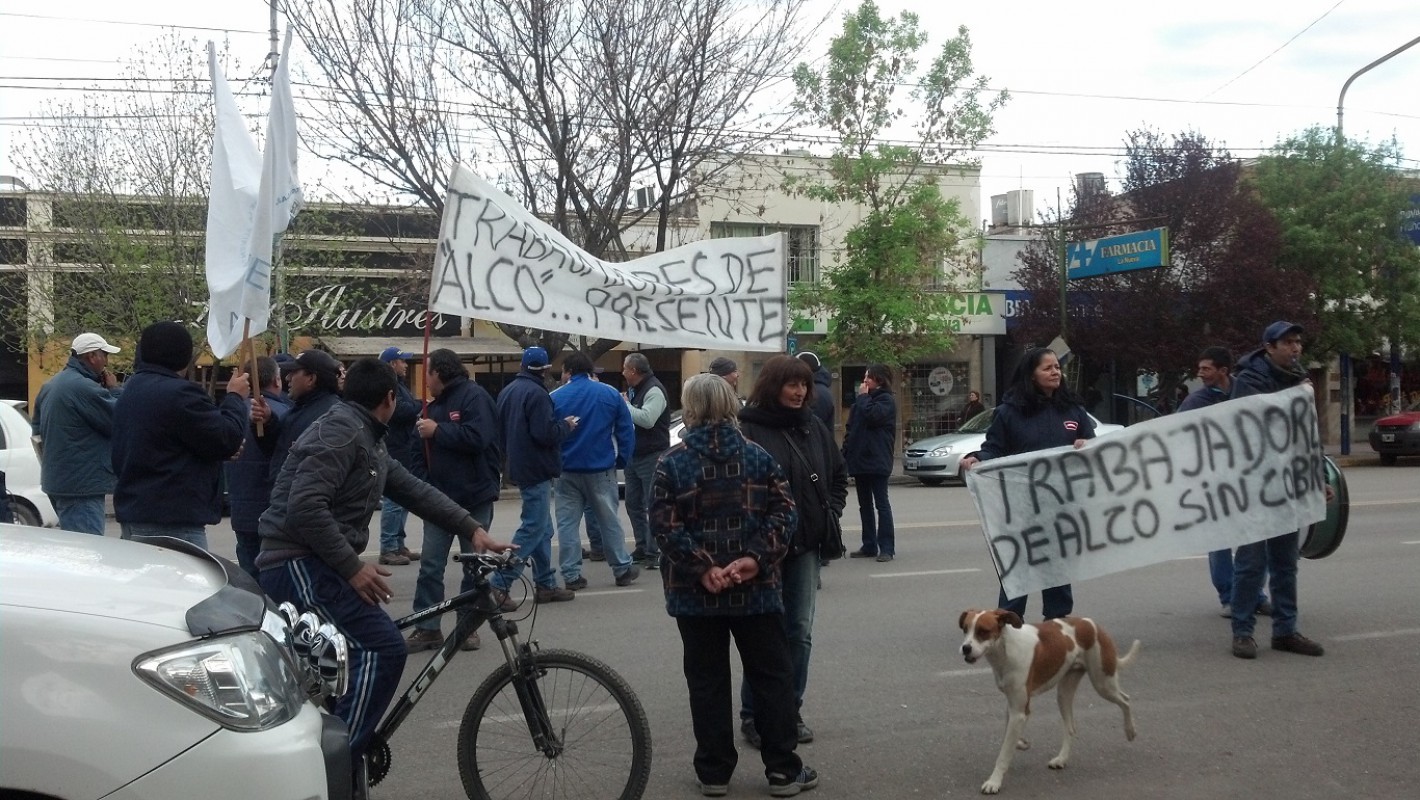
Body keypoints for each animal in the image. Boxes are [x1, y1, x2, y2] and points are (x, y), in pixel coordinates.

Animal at [954, 611, 1141, 790]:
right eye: (965, 629)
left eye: (983, 631)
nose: (966, 648)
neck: (1005, 649)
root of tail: (1093, 624)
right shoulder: (1014, 706)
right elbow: (1009, 735)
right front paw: (1020, 743)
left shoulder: (1020, 710)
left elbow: (1004, 753)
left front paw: (994, 781)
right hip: (1065, 693)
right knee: (1071, 727)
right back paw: (1061, 759)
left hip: (1103, 683)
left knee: (1126, 700)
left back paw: (1130, 731)